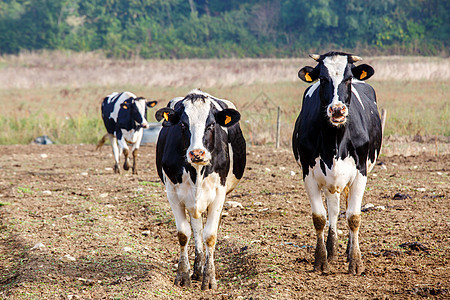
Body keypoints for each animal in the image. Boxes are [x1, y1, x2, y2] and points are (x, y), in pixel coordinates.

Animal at [155, 89, 246, 290]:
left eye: (211, 124)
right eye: (183, 124)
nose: (197, 153)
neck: (196, 170)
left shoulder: (219, 193)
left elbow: (210, 236)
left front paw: (210, 278)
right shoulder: (173, 194)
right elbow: (184, 234)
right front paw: (183, 275)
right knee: (196, 229)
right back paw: (197, 269)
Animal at [292, 51, 384, 274]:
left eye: (348, 78)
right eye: (323, 79)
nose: (337, 110)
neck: (334, 140)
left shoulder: (360, 172)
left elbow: (354, 217)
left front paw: (356, 262)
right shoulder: (308, 174)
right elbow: (320, 217)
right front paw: (321, 260)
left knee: (346, 207)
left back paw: (349, 250)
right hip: (330, 180)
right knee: (333, 210)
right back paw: (332, 250)